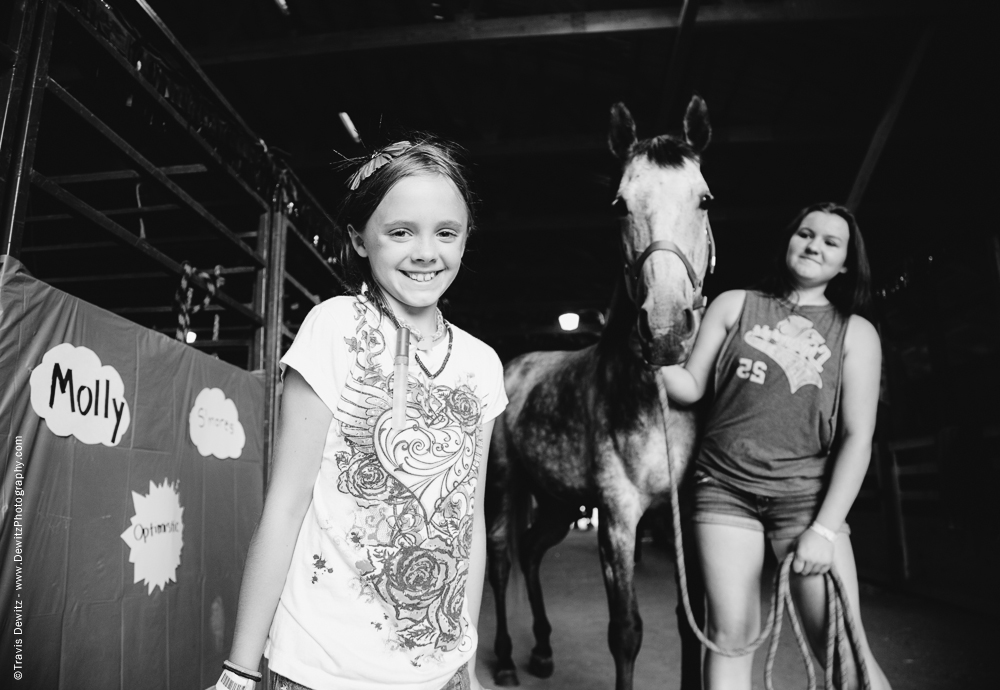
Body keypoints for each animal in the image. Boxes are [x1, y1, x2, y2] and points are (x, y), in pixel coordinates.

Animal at [482, 95, 712, 688]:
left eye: (704, 199)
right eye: (619, 204)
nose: (665, 328)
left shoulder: (682, 518)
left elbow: (689, 625)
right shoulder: (618, 517)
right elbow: (626, 631)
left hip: (559, 503)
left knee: (532, 551)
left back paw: (542, 649)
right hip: (507, 485)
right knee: (502, 557)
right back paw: (509, 659)